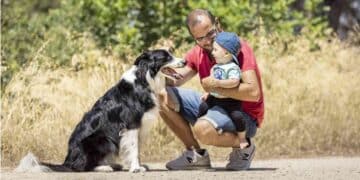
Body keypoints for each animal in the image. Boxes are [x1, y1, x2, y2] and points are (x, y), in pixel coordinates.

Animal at [14, 49, 183, 173]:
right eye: (166, 57)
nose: (185, 61)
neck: (144, 80)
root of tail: (67, 161)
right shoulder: (131, 125)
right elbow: (134, 149)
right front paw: (135, 168)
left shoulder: (139, 127)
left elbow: (136, 149)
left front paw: (139, 165)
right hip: (103, 140)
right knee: (81, 167)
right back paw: (105, 167)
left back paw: (113, 165)